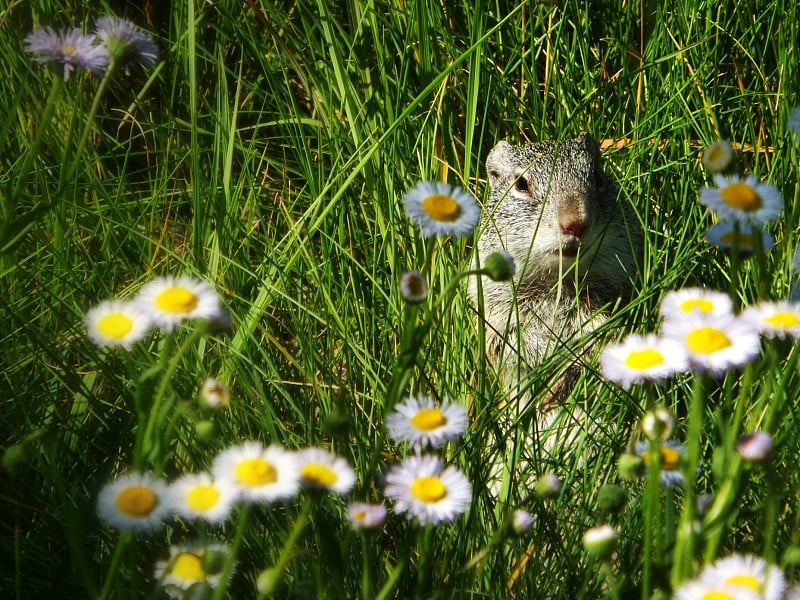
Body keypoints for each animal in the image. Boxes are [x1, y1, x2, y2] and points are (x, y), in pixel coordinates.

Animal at [468, 134, 644, 436]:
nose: (576, 223)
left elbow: (603, 341)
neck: (557, 284)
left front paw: (564, 380)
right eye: (521, 184)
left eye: (598, 177)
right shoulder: (499, 319)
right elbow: (511, 355)